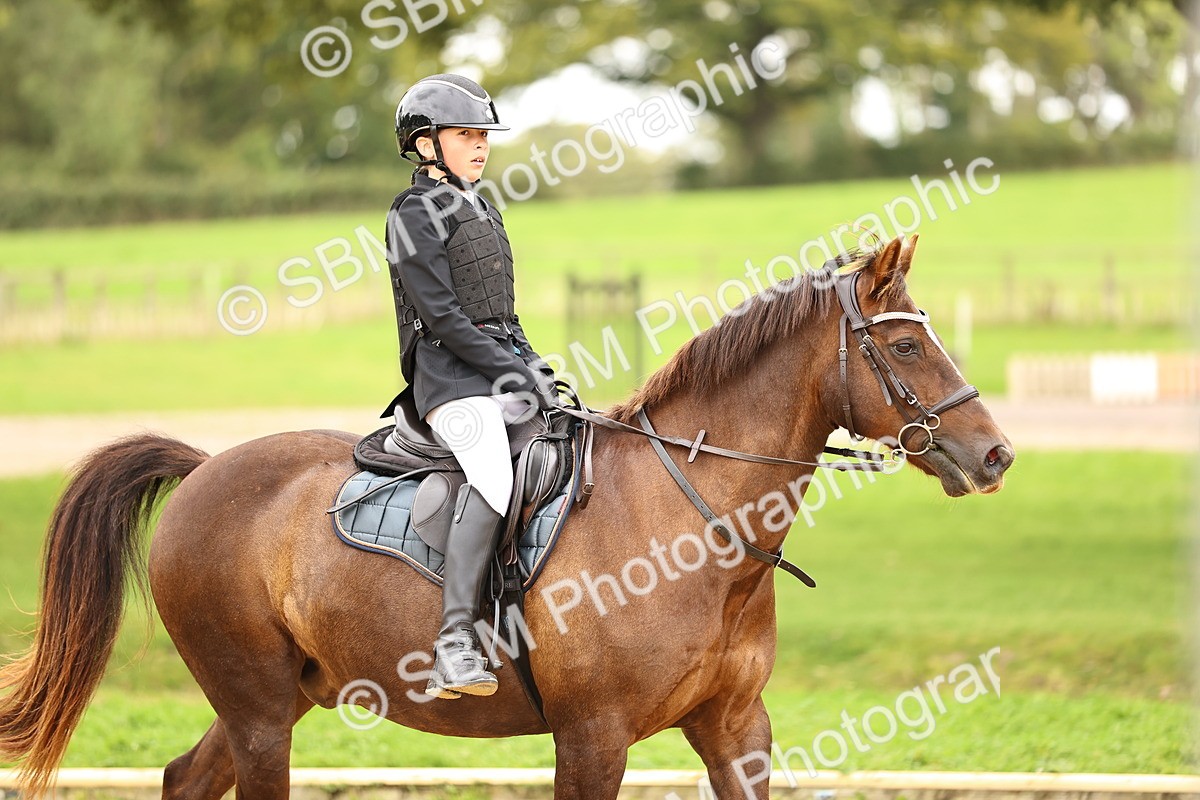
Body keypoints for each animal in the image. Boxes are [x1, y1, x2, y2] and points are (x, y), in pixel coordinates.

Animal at [0, 234, 1014, 799]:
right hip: (258, 710)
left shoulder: (735, 729)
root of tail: (207, 469)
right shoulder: (593, 738)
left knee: (185, 778)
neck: (693, 523)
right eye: (907, 347)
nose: (997, 455)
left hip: (282, 695)